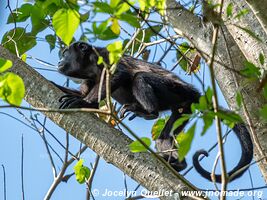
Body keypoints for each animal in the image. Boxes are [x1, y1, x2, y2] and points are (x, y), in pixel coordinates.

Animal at [54, 41, 253, 183]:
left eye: (65, 53)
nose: (59, 61)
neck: (91, 66)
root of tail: (195, 94)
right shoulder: (88, 78)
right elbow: (81, 92)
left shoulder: (105, 57)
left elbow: (119, 74)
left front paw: (84, 102)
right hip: (184, 109)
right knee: (164, 136)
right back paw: (177, 163)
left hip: (176, 90)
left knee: (140, 77)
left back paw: (149, 112)